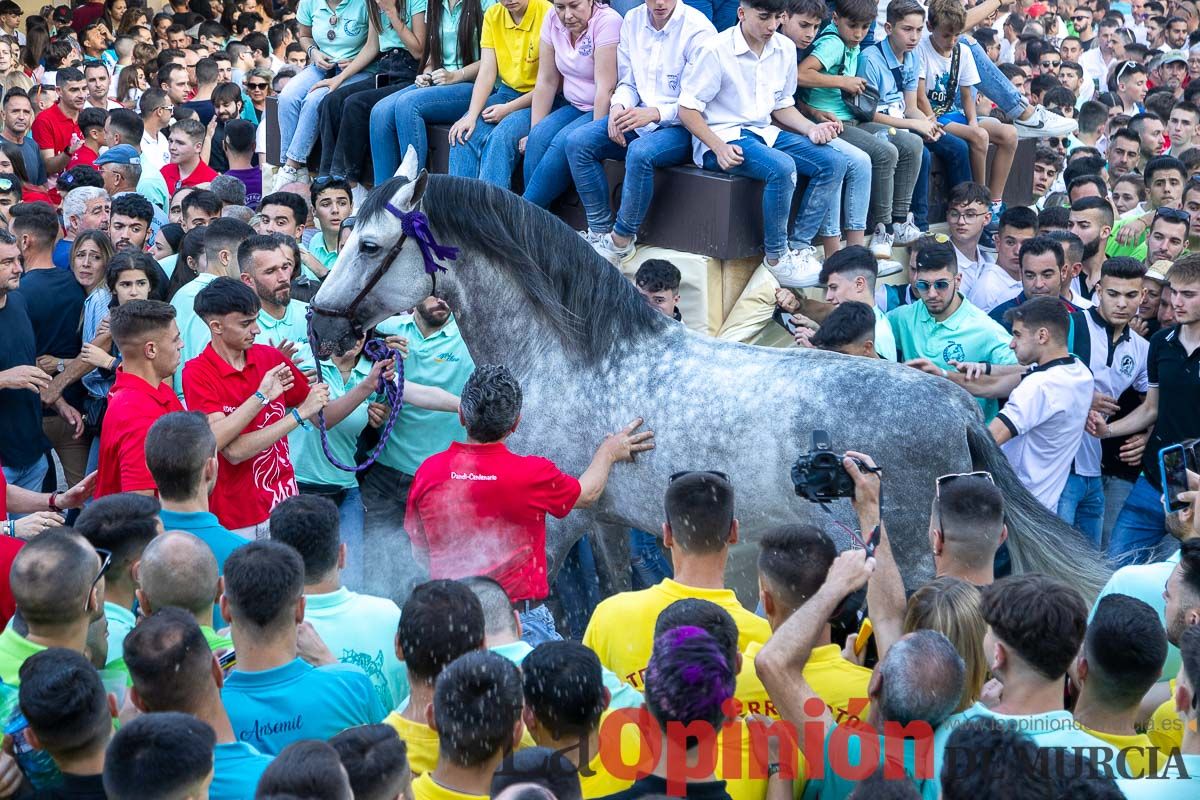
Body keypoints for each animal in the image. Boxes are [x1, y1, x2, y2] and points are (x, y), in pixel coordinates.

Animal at [304, 154, 1108, 606]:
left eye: (369, 244)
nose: (320, 329)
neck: (576, 359)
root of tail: (958, 405)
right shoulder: (602, 517)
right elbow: (614, 592)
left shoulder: (556, 521)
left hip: (907, 554)